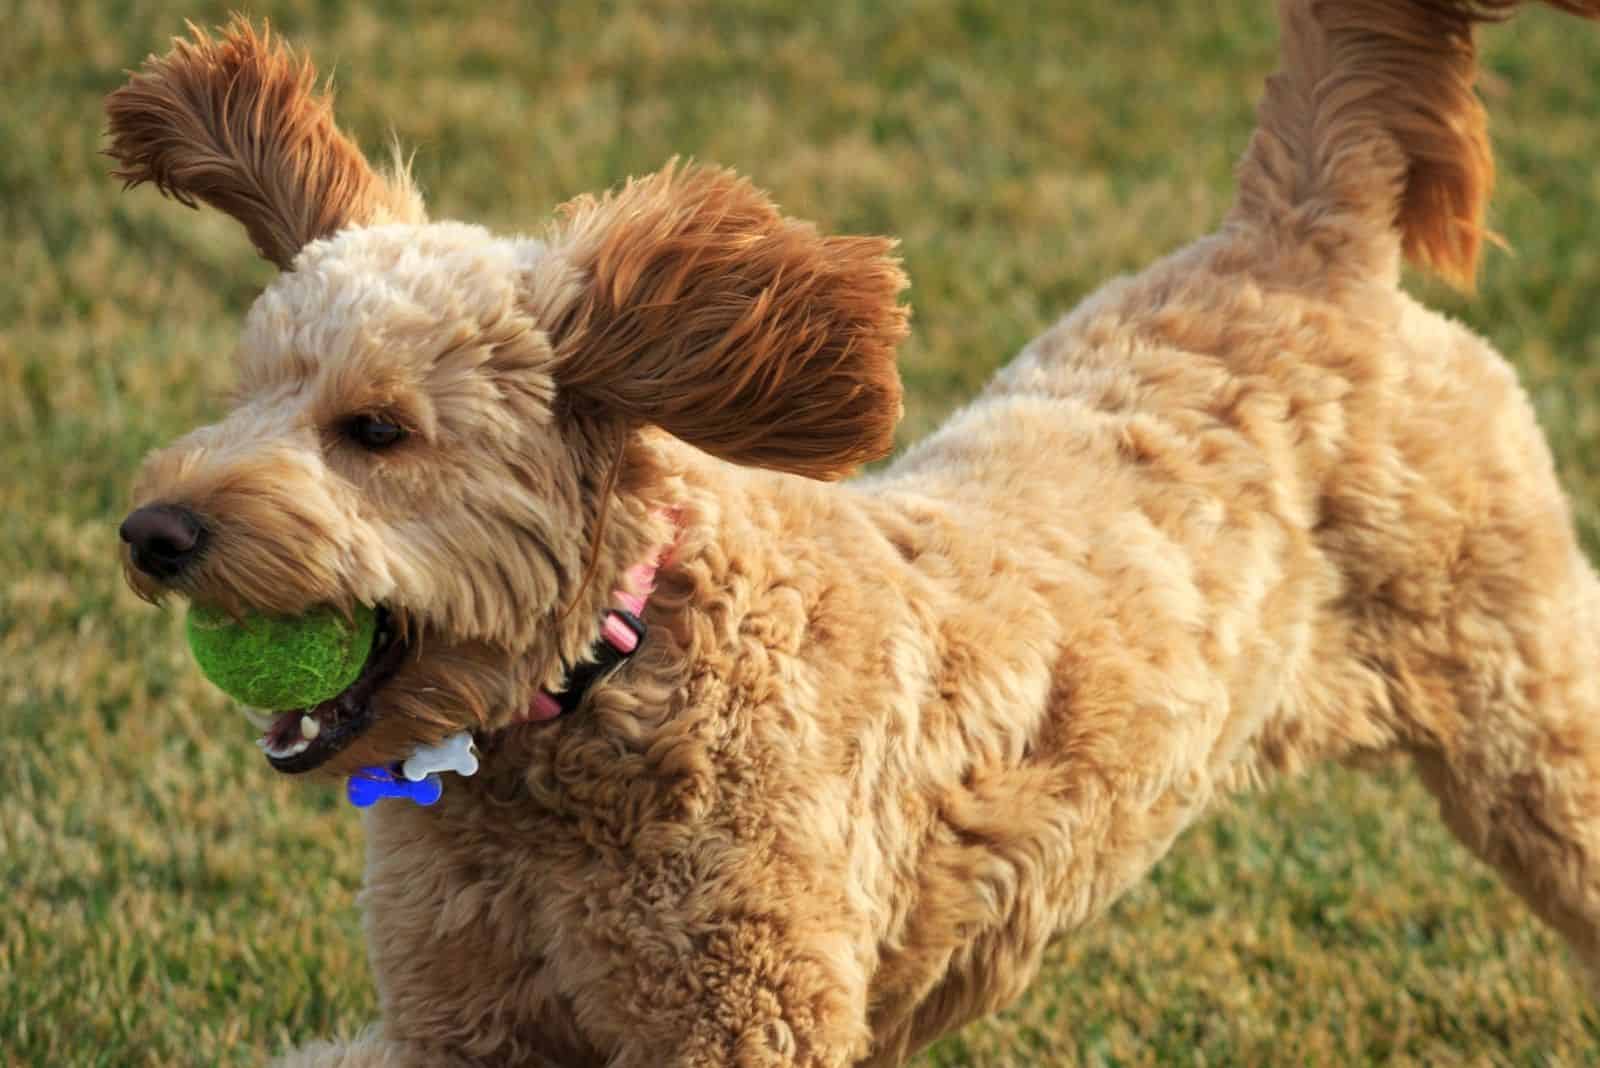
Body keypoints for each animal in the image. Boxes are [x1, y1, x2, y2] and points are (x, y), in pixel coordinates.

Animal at [109, 2, 1600, 1068]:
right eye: (247, 390)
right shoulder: (458, 1016)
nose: (151, 531)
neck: (607, 682)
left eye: (375, 431)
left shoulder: (740, 1011)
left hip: (1526, 707)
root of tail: (1300, 239)